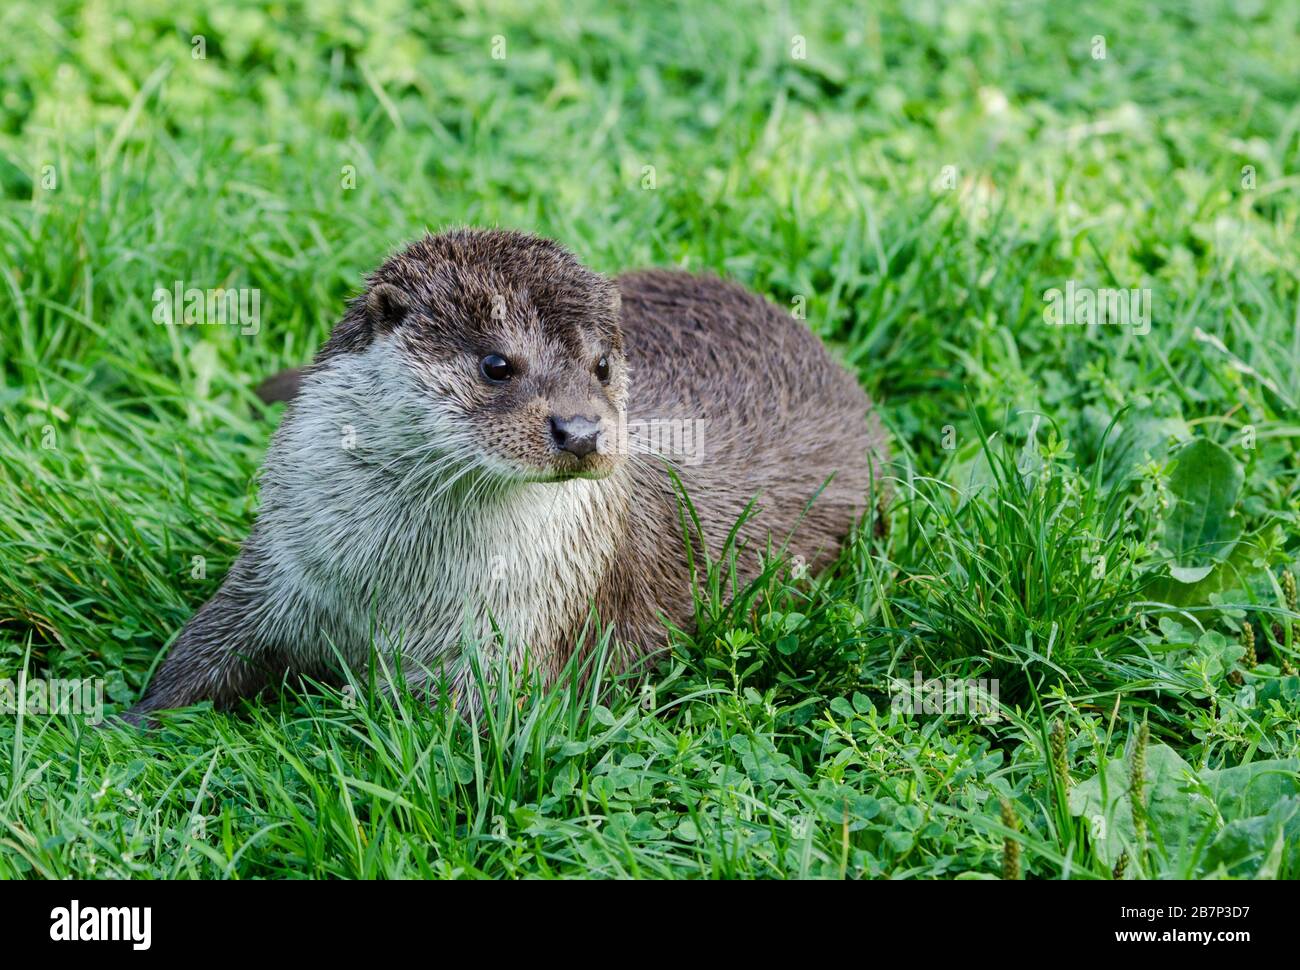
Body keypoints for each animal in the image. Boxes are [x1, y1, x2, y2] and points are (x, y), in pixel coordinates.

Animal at [124, 230, 894, 722]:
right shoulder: (279, 568)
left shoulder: (517, 643)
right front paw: (129, 723)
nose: (580, 430)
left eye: (603, 367)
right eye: (497, 364)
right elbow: (200, 652)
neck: (395, 593)